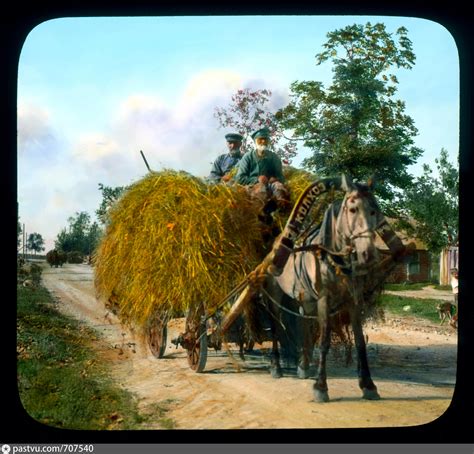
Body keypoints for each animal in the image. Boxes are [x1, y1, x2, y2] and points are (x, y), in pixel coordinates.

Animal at [260, 176, 408, 402]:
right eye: (353, 209)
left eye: (375, 211)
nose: (368, 255)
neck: (335, 257)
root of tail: (276, 243)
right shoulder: (324, 298)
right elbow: (324, 341)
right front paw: (321, 387)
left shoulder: (354, 300)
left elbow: (359, 342)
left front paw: (368, 384)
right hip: (276, 293)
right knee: (276, 325)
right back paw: (276, 366)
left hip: (303, 297)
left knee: (303, 323)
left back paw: (303, 365)